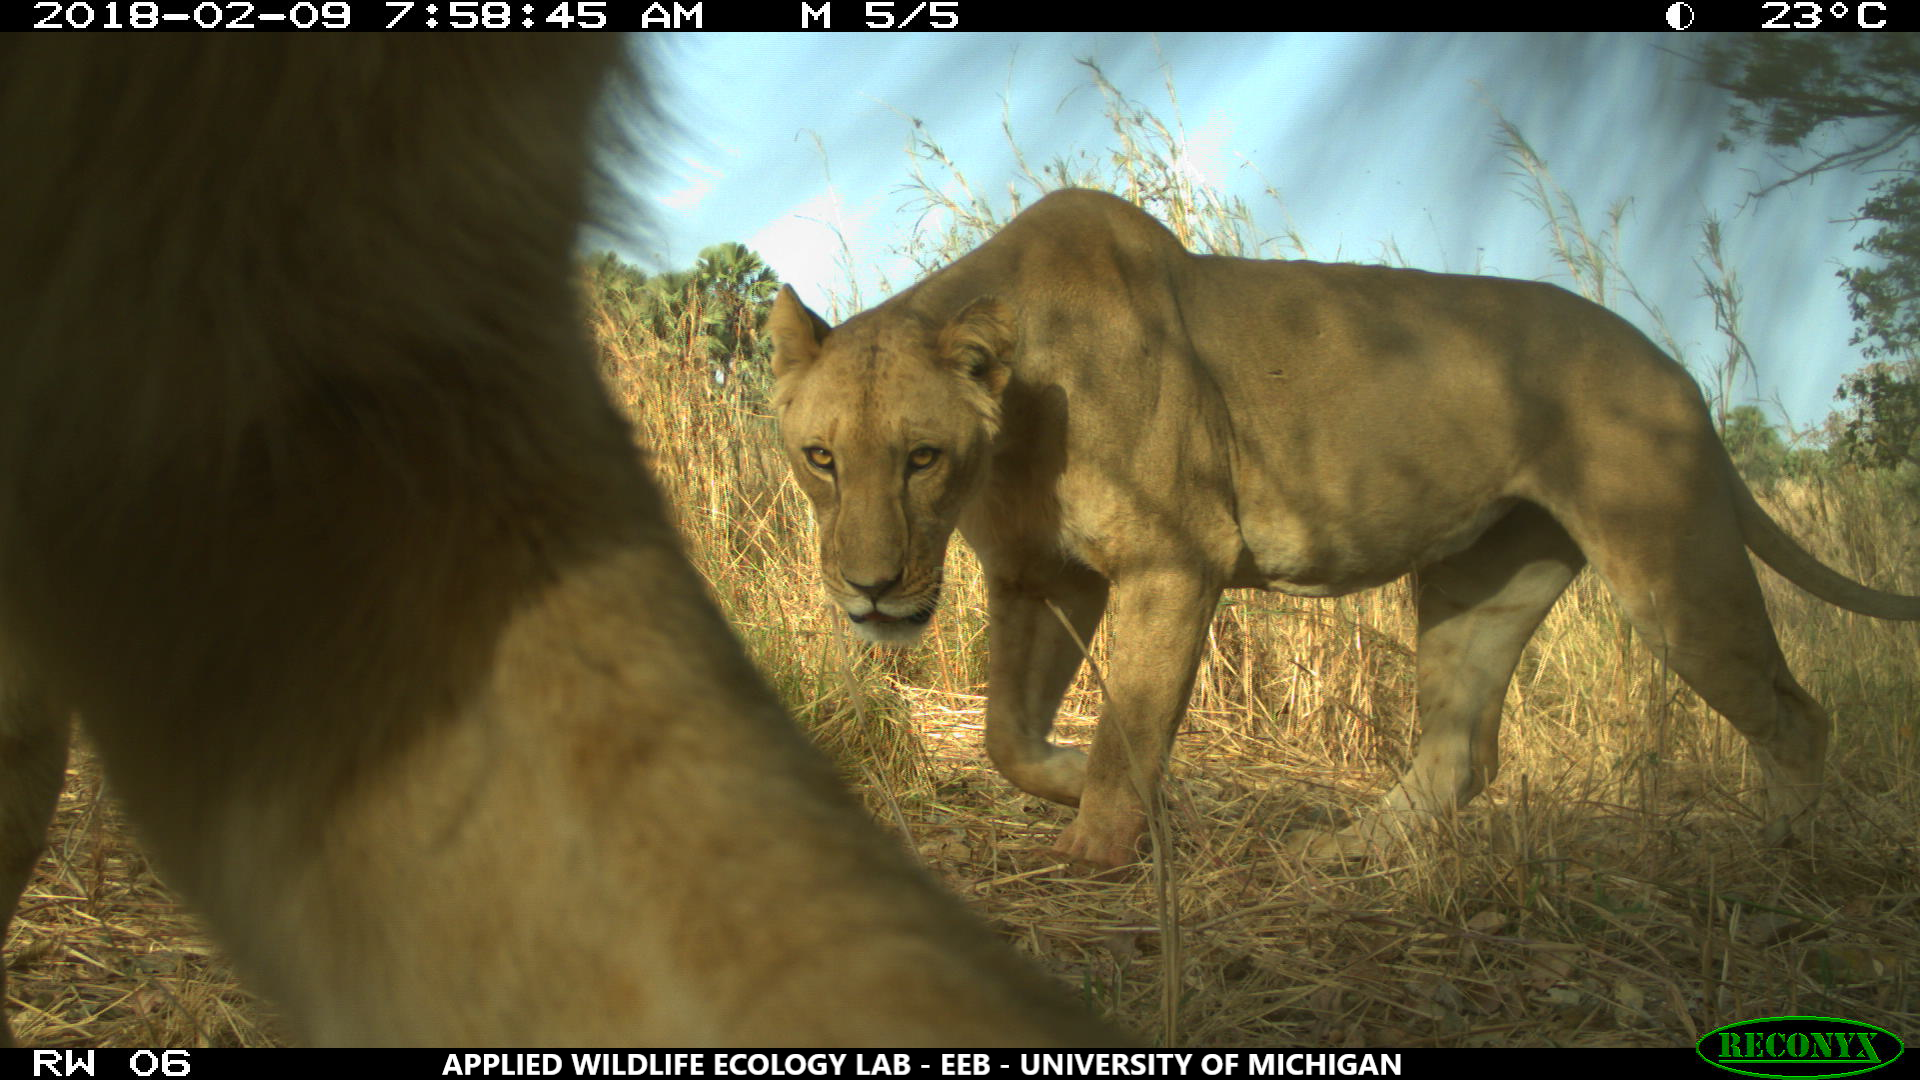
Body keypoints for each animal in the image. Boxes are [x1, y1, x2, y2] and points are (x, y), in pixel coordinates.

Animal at [768, 187, 1920, 871]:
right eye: (820, 458)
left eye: (921, 457)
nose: (869, 590)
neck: (1010, 429)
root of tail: (1674, 369)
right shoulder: (1040, 578)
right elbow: (1007, 735)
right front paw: (1094, 790)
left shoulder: (1172, 563)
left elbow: (1130, 730)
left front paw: (1103, 847)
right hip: (1478, 584)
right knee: (1463, 751)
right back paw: (1342, 854)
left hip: (1671, 569)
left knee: (1794, 715)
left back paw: (1777, 857)